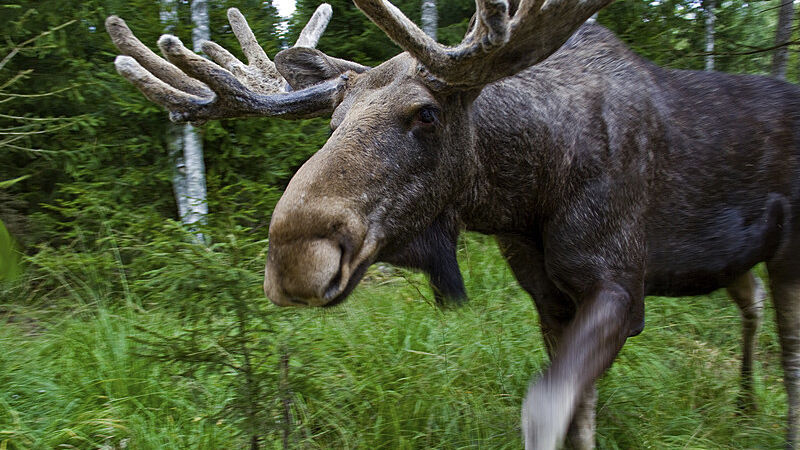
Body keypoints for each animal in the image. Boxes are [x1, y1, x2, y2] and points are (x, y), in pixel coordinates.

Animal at [106, 0, 800, 446]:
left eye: (427, 114)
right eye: (333, 121)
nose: (295, 258)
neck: (529, 192)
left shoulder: (620, 285)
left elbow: (545, 408)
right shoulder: (548, 297)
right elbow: (577, 413)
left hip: (790, 254)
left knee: (789, 349)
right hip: (736, 261)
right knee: (751, 307)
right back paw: (744, 403)